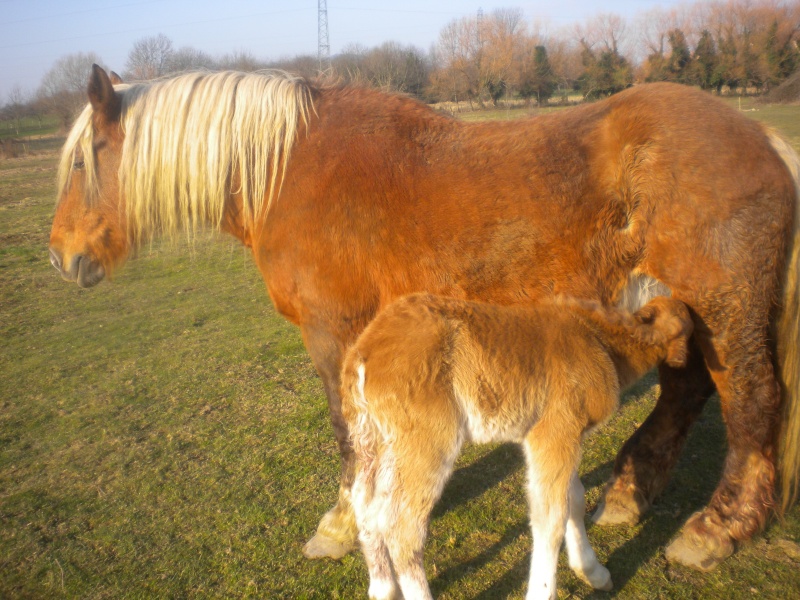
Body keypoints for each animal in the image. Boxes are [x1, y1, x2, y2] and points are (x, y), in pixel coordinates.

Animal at [342, 292, 692, 596]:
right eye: (691, 331)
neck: (600, 340)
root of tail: (363, 350)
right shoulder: (553, 430)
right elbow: (549, 518)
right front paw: (545, 589)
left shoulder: (567, 437)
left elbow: (574, 499)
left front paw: (593, 572)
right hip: (427, 440)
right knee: (402, 527)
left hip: (376, 439)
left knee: (366, 502)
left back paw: (383, 589)